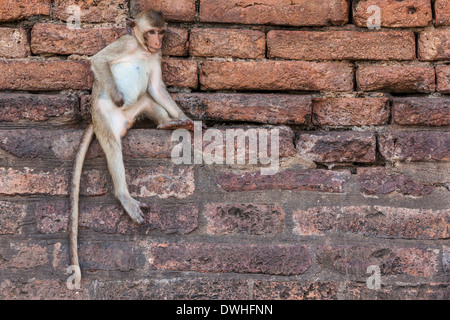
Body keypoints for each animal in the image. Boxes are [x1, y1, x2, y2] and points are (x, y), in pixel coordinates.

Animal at [69, 10, 193, 280]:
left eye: (161, 32)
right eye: (151, 32)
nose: (157, 41)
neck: (142, 49)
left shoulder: (156, 56)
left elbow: (156, 88)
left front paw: (185, 118)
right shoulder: (124, 43)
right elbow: (98, 60)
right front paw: (117, 96)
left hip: (137, 110)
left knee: (148, 99)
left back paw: (168, 123)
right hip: (104, 119)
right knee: (113, 148)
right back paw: (124, 195)